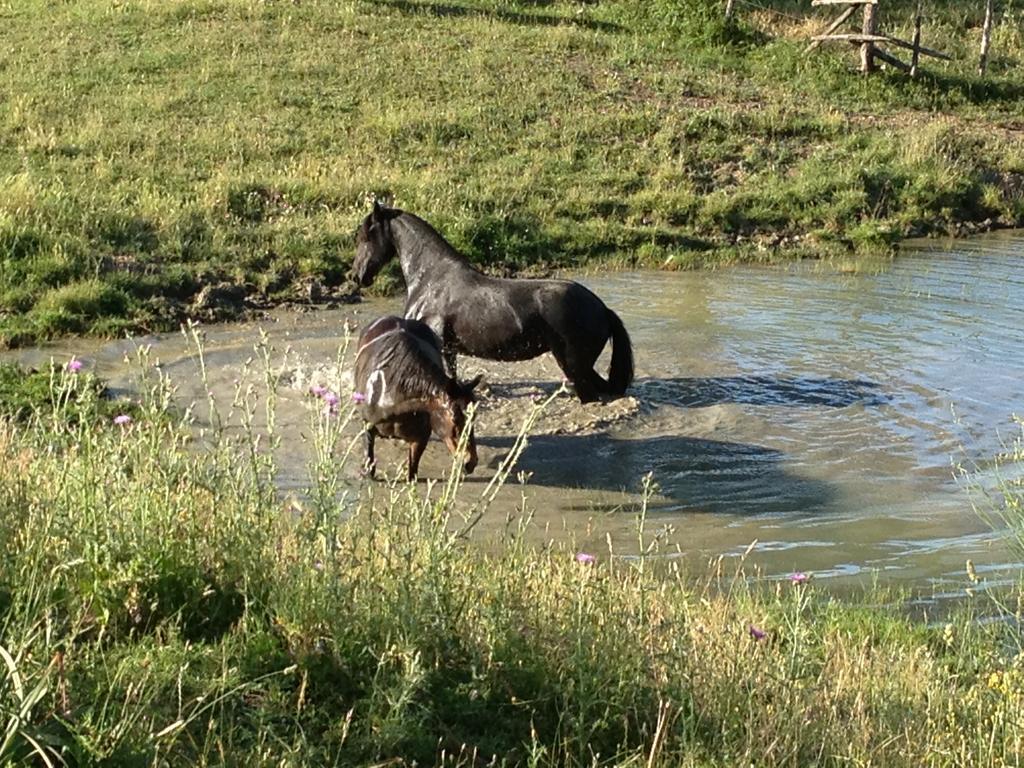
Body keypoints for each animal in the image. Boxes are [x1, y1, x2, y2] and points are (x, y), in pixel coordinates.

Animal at [352, 204, 630, 409]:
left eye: (365, 236)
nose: (357, 276)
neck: (430, 280)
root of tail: (602, 309)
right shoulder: (449, 352)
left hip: (574, 367)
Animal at [352, 313, 479, 481]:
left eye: (475, 417)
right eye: (455, 419)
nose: (471, 462)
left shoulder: (420, 438)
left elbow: (412, 472)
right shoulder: (367, 425)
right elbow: (369, 463)